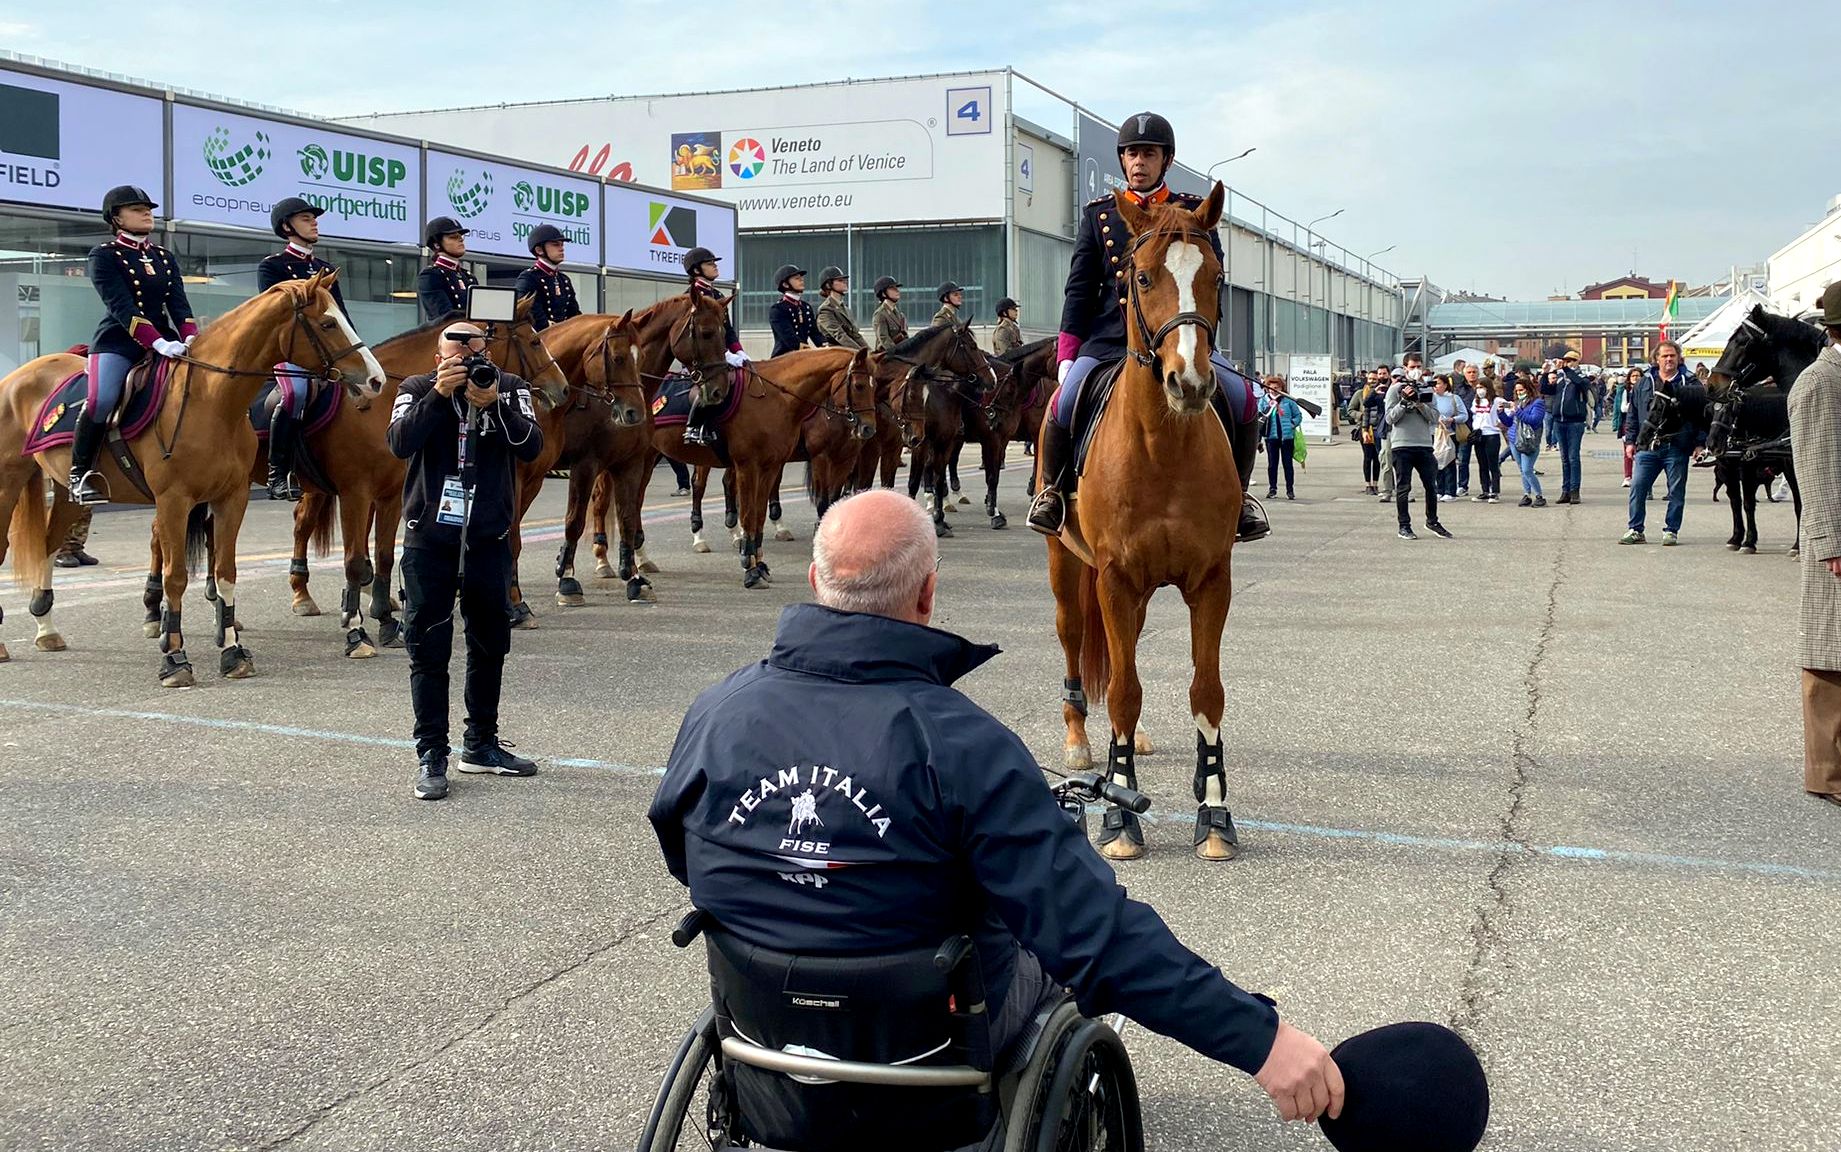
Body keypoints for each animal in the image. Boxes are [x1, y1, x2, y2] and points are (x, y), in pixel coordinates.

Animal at [0, 272, 382, 677]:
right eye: (327, 323)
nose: (375, 380)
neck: (212, 401)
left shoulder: (231, 498)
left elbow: (226, 570)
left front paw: (232, 651)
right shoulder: (174, 501)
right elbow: (176, 577)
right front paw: (174, 657)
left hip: (67, 491)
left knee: (48, 544)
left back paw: (46, 630)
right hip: (7, 484)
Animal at [1045, 184, 1244, 857]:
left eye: (1215, 277)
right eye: (1142, 276)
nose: (1190, 381)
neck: (1163, 449)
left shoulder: (1211, 579)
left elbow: (1206, 690)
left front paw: (1215, 812)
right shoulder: (1113, 578)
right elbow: (1124, 691)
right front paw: (1118, 813)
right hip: (1066, 569)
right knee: (1077, 643)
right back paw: (1083, 742)